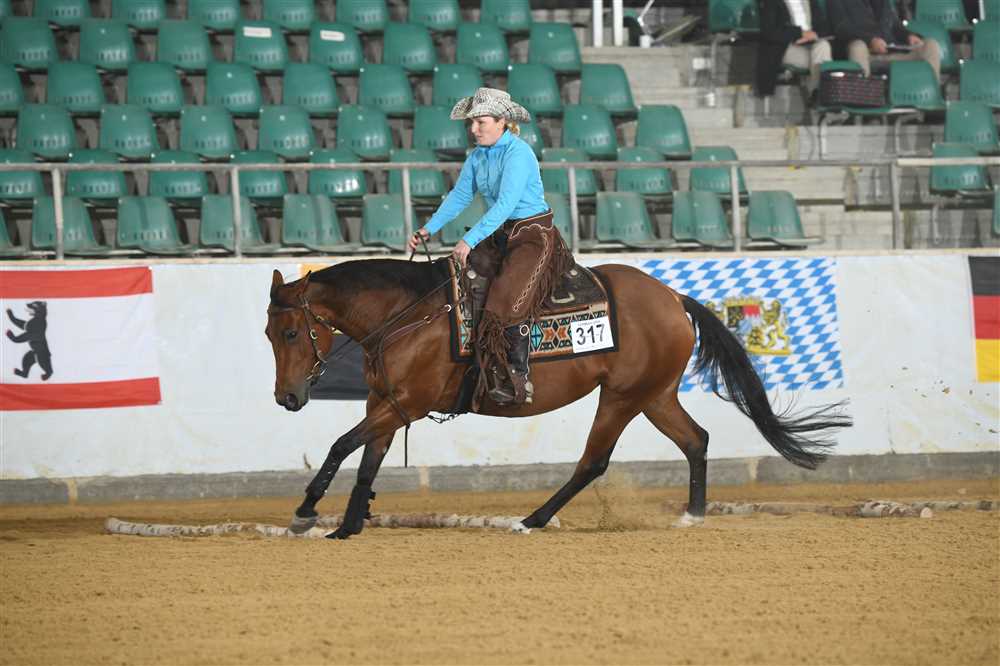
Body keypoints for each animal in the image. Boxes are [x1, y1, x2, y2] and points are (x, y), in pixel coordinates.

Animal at [265, 258, 851, 539]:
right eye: (270, 334)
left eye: (292, 332)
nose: (287, 397)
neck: (409, 315)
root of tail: (671, 297)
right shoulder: (385, 405)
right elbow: (368, 459)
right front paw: (348, 525)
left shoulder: (405, 403)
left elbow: (342, 446)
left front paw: (306, 512)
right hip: (656, 396)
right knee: (696, 441)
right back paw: (693, 515)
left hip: (621, 398)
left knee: (594, 461)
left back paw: (532, 520)